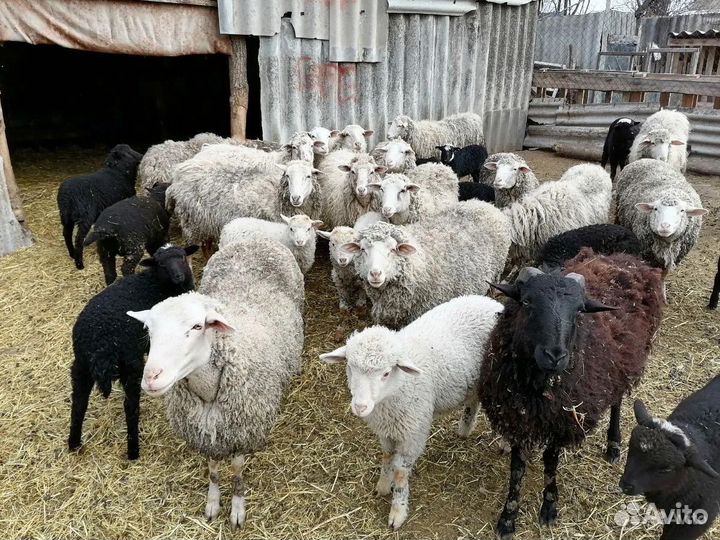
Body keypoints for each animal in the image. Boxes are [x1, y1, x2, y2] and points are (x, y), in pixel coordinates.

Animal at [68, 244, 197, 461]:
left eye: (181, 257)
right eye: (161, 264)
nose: (178, 276)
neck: (156, 283)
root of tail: (99, 345)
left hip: (80, 365)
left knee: (79, 403)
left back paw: (74, 443)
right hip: (130, 363)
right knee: (130, 407)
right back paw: (133, 451)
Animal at [127, 239, 304, 529]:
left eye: (197, 327)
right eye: (149, 330)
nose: (151, 377)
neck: (208, 391)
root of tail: (254, 239)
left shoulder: (241, 431)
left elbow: (236, 470)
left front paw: (237, 507)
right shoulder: (207, 432)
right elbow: (212, 468)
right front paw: (212, 501)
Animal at [319, 295, 504, 528]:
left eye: (386, 373)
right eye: (350, 367)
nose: (360, 407)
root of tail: (489, 301)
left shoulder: (413, 435)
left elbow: (400, 474)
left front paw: (397, 512)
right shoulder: (386, 432)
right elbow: (387, 457)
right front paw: (382, 486)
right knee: (473, 400)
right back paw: (464, 429)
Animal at [480, 250, 664, 539]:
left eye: (579, 311)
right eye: (527, 302)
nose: (555, 356)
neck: (537, 387)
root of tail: (622, 258)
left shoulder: (562, 419)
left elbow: (550, 461)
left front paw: (549, 507)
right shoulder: (517, 414)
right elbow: (517, 467)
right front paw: (508, 518)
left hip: (625, 363)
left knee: (616, 402)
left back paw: (613, 444)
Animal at [615, 159, 707, 295]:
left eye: (682, 210)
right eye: (655, 209)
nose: (665, 226)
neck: (666, 244)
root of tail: (646, 159)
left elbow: (662, 276)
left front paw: (661, 292)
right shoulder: (645, 255)